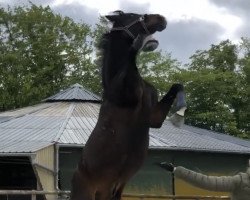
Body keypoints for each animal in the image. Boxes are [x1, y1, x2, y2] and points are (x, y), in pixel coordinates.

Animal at [70, 10, 186, 200]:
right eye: (132, 15)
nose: (161, 18)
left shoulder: (154, 118)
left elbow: (177, 86)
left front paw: (179, 115)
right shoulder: (128, 97)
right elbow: (131, 54)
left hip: (116, 190)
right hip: (98, 191)